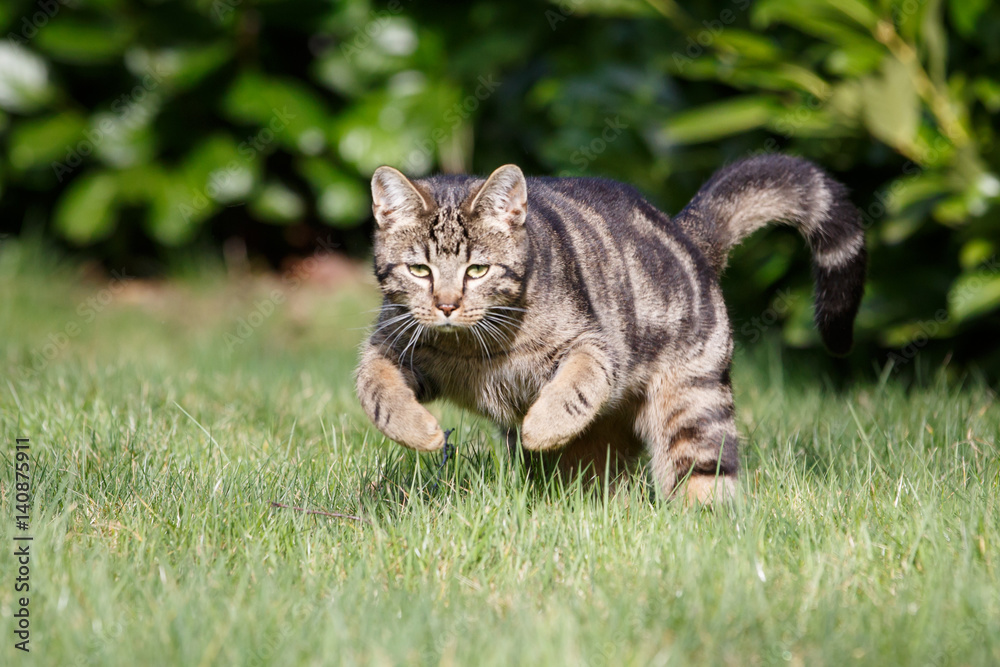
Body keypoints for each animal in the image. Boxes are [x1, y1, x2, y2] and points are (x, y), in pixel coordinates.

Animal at [354, 155, 868, 500]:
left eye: (477, 270)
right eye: (419, 270)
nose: (446, 305)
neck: (472, 348)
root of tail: (686, 233)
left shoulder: (594, 344)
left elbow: (579, 383)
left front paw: (540, 425)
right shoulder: (388, 344)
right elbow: (374, 389)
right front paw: (421, 432)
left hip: (693, 404)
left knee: (703, 477)